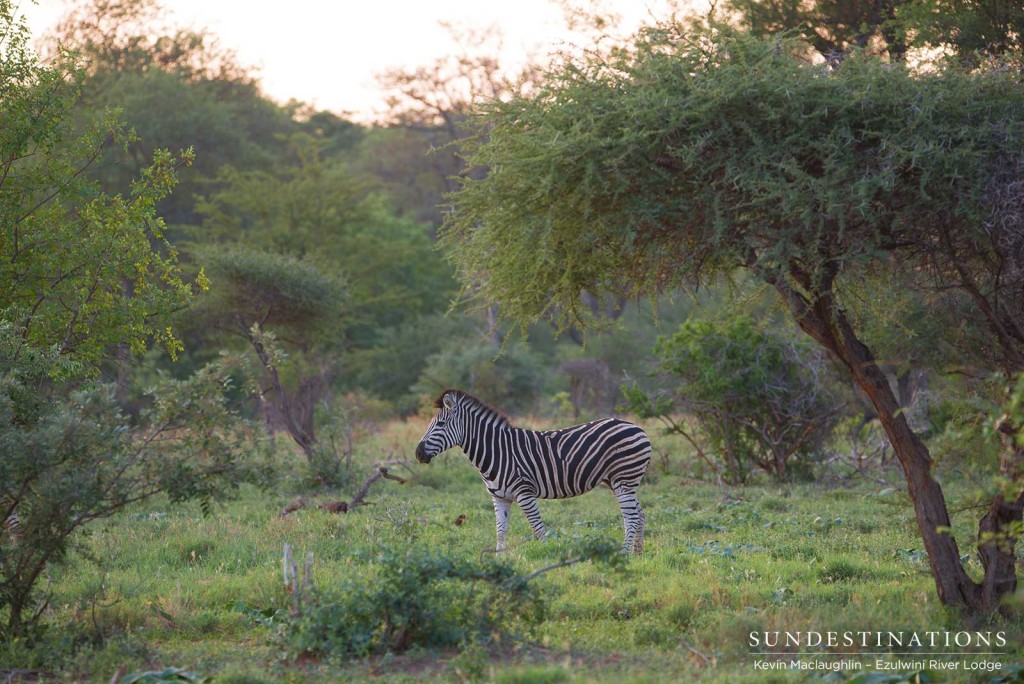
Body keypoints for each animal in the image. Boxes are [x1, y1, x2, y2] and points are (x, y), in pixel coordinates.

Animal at [413, 387, 647, 552]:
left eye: (440, 424)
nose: (418, 453)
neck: (497, 451)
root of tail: (637, 427)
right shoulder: (499, 498)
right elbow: (501, 530)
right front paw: (499, 559)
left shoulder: (524, 494)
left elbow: (538, 528)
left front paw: (547, 556)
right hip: (619, 482)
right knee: (640, 514)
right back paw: (637, 553)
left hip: (624, 480)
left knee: (631, 517)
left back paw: (624, 553)